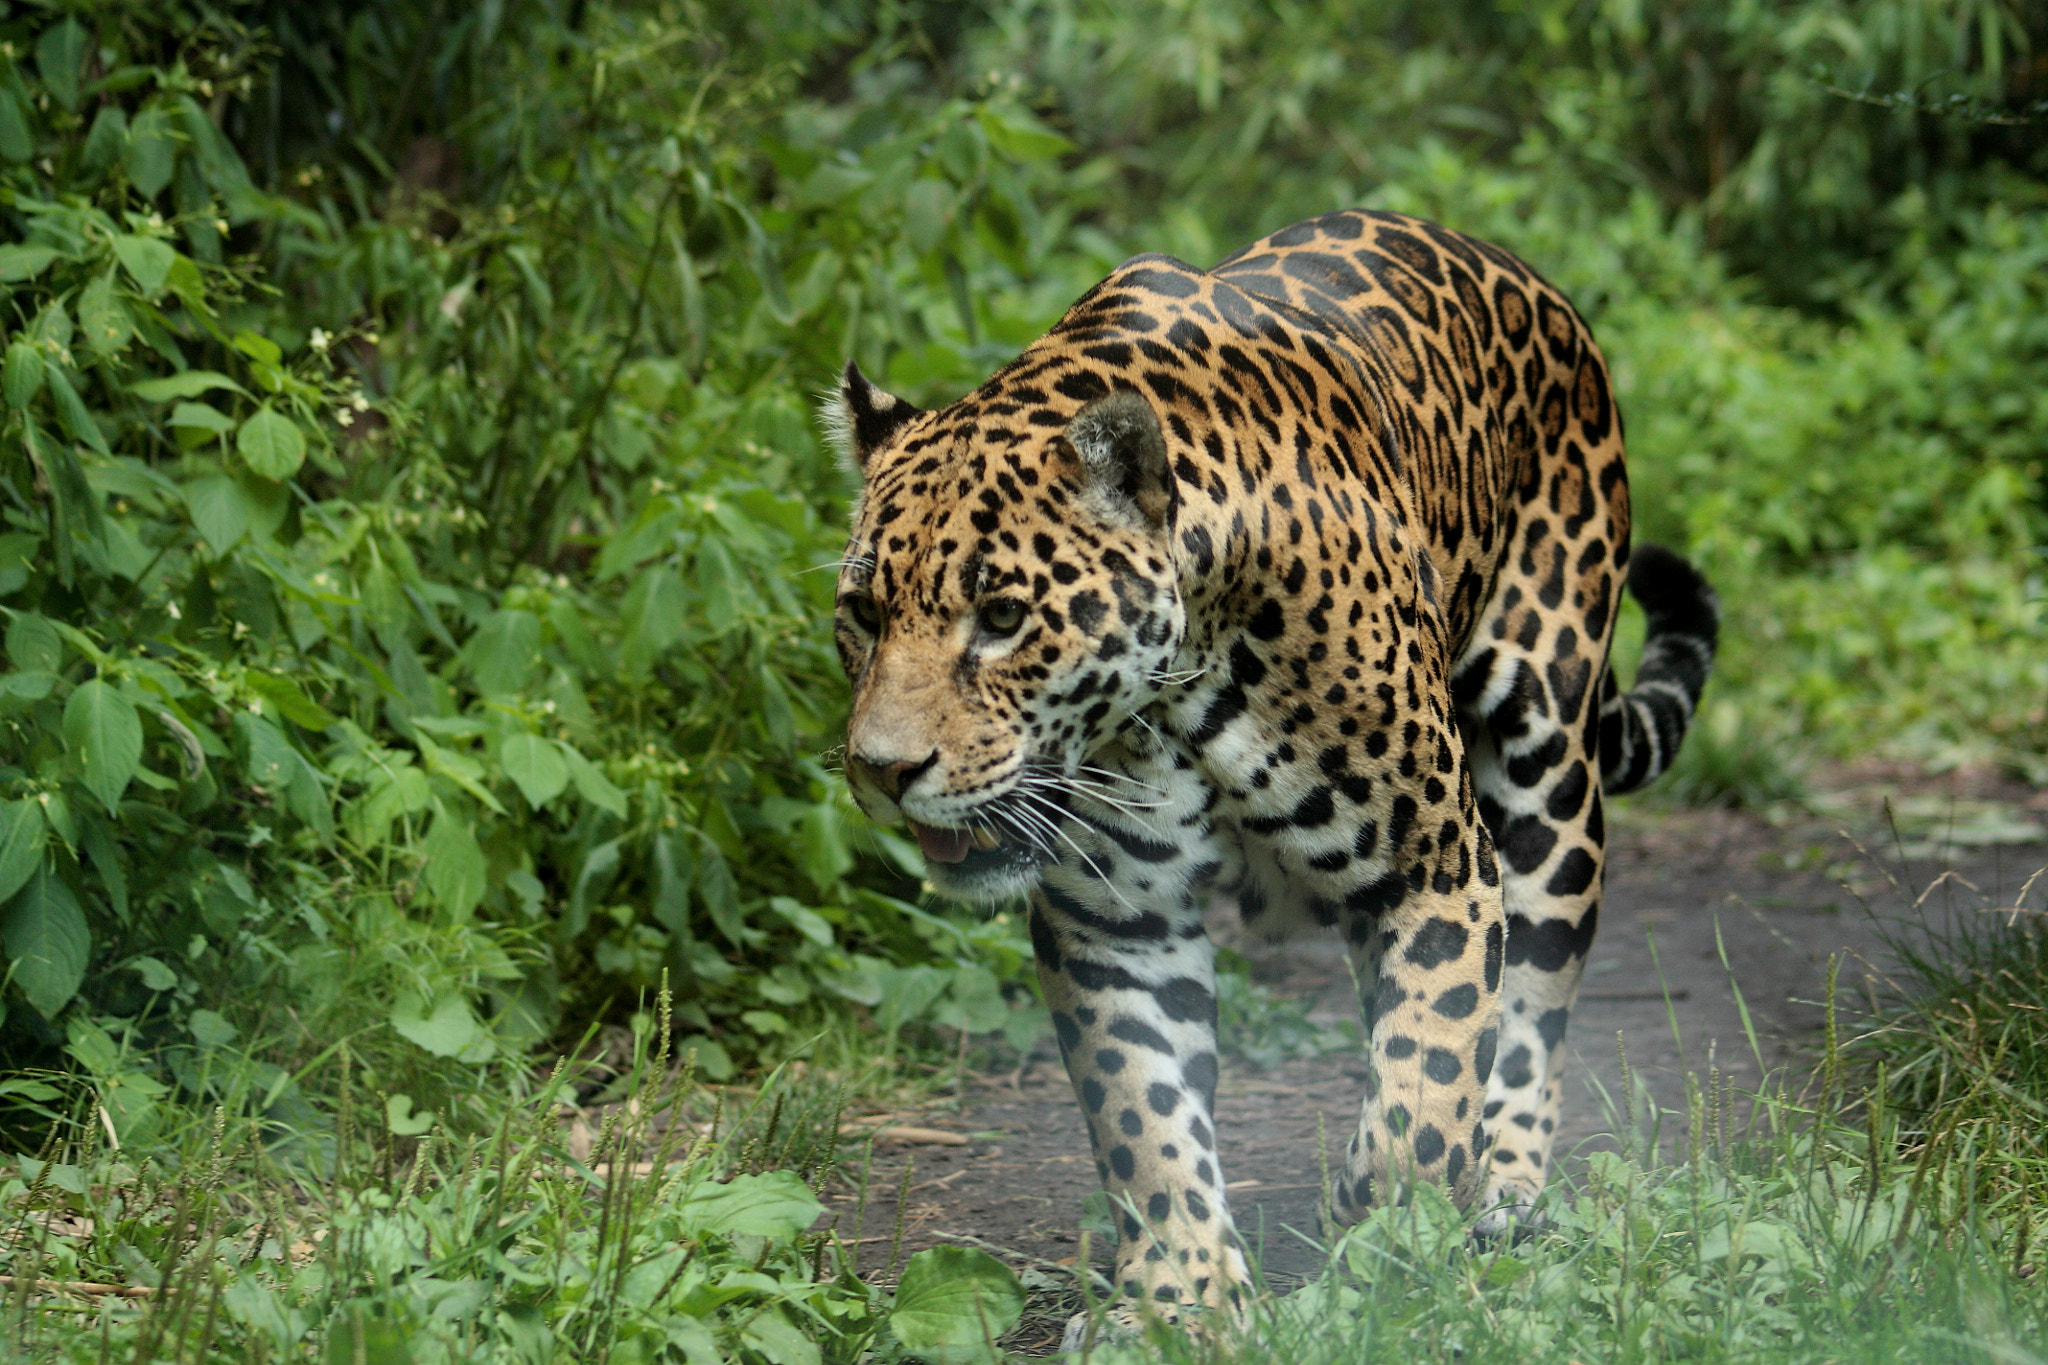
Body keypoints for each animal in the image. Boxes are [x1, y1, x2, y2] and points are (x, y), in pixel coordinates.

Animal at [824, 209, 1717, 1342]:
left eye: (1002, 616)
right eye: (862, 613)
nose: (882, 770)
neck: (1175, 693)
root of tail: (1527, 277)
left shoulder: (1437, 869)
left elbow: (1425, 1090)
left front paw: (1380, 1238)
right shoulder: (1116, 921)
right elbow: (1145, 1115)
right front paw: (1177, 1302)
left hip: (1549, 762)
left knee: (1524, 1014)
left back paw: (1503, 1199)